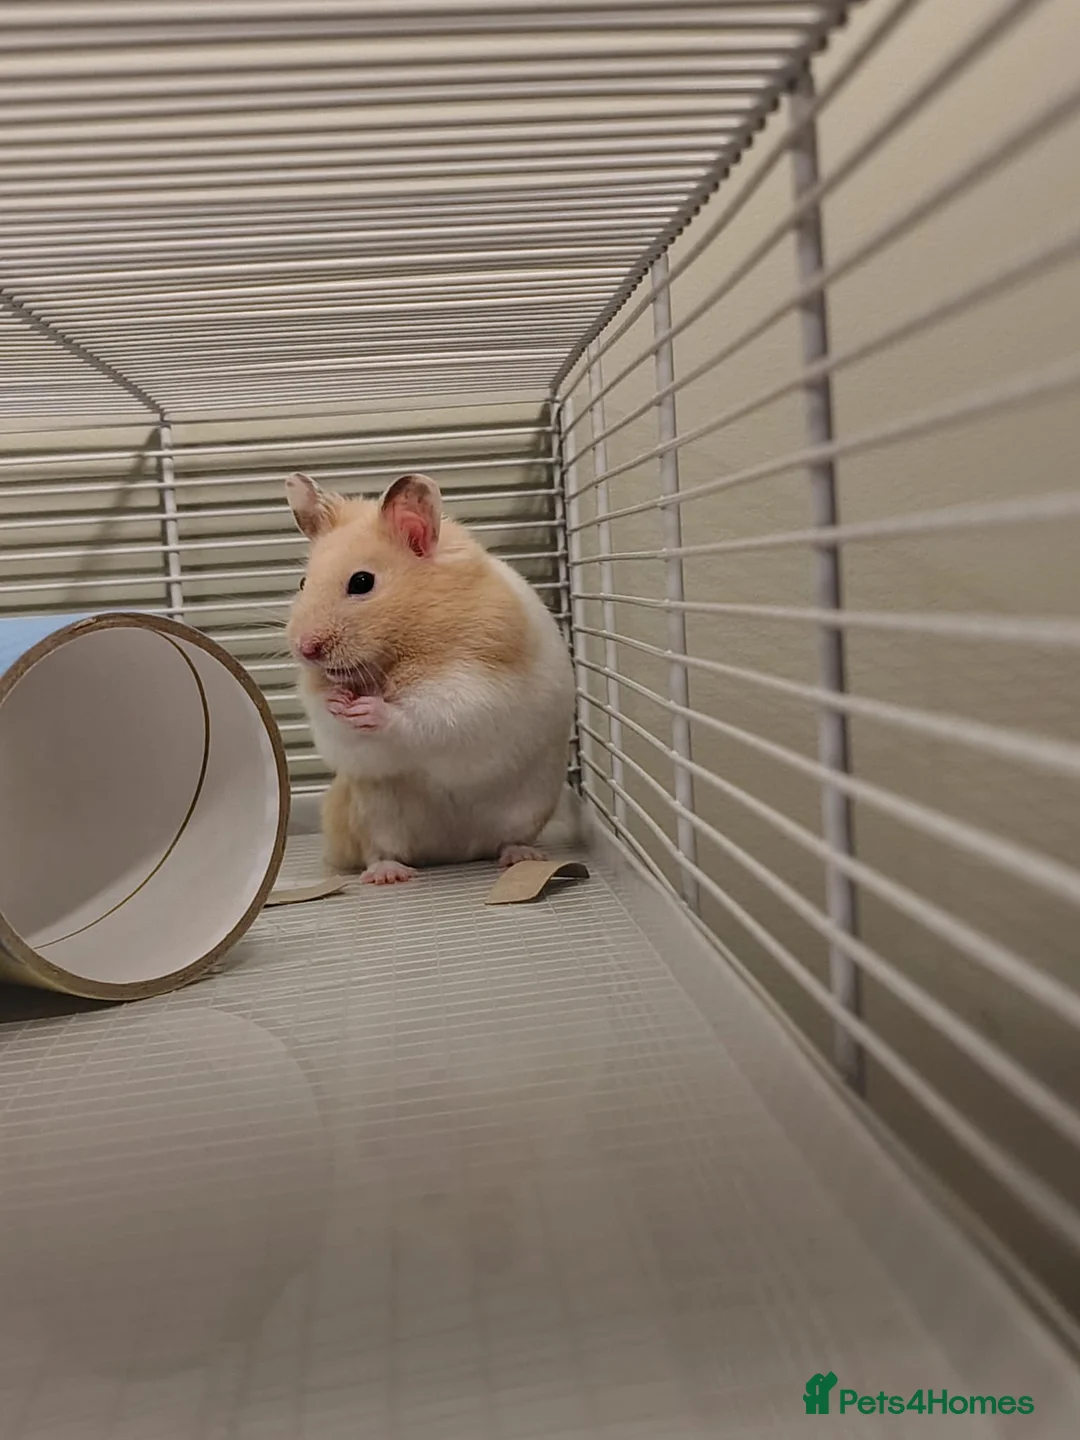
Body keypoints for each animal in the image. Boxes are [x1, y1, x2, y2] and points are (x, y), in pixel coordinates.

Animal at [285, 471, 575, 884]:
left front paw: (369, 709)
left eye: (361, 582)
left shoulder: (472, 687)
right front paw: (337, 701)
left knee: (507, 841)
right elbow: (333, 723)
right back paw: (388, 875)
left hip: (527, 808)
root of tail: (450, 852)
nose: (305, 648)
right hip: (370, 816)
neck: (395, 653)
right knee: (379, 852)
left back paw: (522, 856)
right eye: (302, 583)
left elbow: (423, 716)